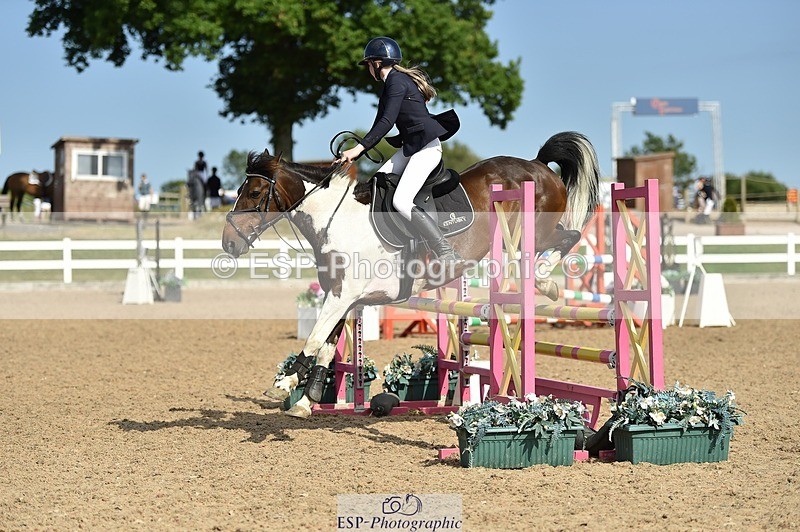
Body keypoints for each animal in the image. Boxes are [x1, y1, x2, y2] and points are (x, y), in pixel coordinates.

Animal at [221, 131, 600, 418]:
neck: (336, 220)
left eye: (254, 193)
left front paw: (282, 385)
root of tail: (537, 164)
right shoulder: (340, 296)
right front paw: (304, 400)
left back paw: (544, 281)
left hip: (532, 231)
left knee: (569, 237)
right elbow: (327, 346)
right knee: (566, 237)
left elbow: (315, 338)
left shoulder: (343, 295)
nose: (228, 243)